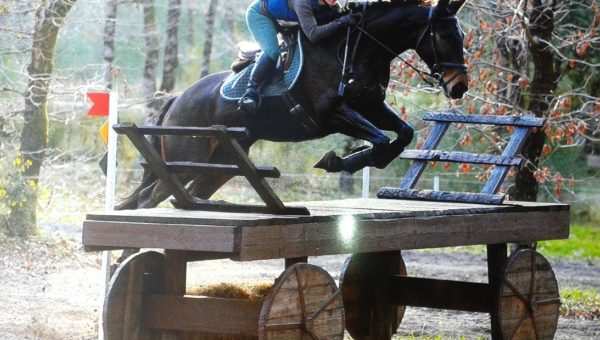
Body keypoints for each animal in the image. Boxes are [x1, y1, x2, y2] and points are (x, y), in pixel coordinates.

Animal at [116, 0, 468, 210]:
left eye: (462, 36)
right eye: (446, 36)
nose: (459, 87)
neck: (355, 50)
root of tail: (178, 99)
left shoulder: (370, 107)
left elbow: (402, 135)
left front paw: (348, 160)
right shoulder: (332, 113)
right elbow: (382, 140)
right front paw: (338, 161)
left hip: (221, 163)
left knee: (187, 195)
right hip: (187, 157)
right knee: (149, 199)